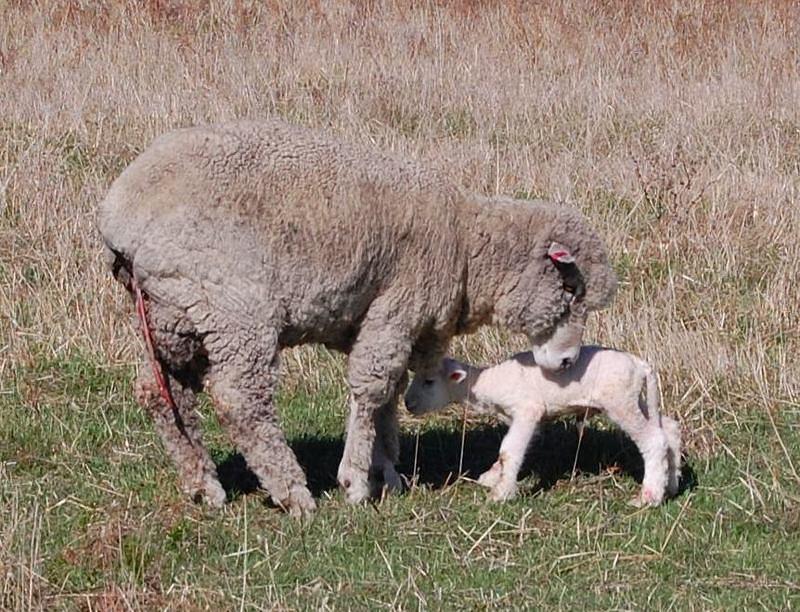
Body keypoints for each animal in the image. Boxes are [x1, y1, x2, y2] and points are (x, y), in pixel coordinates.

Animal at [96, 118, 617, 516]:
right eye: (570, 289)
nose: (568, 363)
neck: (465, 246)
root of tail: (121, 215)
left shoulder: (386, 321)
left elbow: (387, 394)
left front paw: (386, 471)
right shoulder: (396, 308)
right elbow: (371, 389)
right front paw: (356, 481)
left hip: (173, 308)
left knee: (160, 391)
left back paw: (203, 485)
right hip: (232, 306)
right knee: (239, 400)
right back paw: (293, 494)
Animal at [404, 348, 682, 506]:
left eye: (429, 381)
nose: (408, 403)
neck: (485, 383)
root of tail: (640, 364)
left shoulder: (527, 410)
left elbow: (509, 450)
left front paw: (501, 493)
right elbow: (508, 450)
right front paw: (492, 476)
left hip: (620, 400)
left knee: (654, 440)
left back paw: (648, 497)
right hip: (635, 399)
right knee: (669, 429)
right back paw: (671, 484)